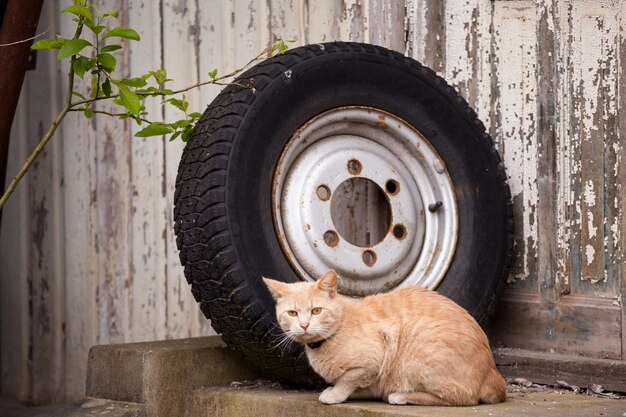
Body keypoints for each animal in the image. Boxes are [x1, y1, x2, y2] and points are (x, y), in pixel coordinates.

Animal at [260, 270, 504, 404]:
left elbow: (348, 380)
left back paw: (401, 396)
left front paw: (336, 394)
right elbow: (363, 384)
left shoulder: (373, 359)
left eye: (316, 311)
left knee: (462, 397)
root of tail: (493, 372)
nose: (304, 325)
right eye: (292, 313)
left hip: (417, 351)